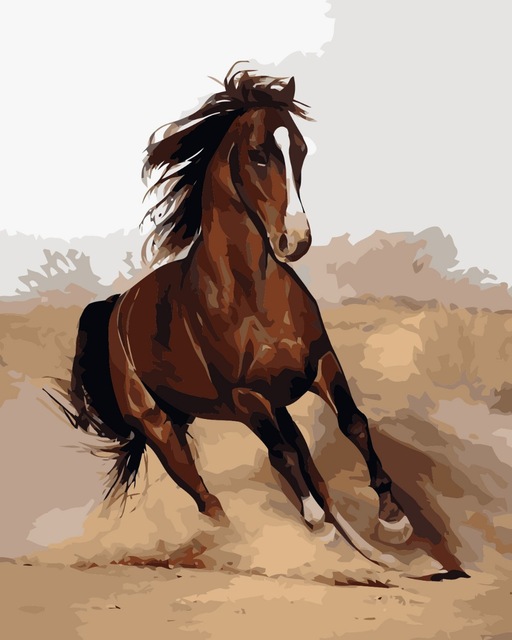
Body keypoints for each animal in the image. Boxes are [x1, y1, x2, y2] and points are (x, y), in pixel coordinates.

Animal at [69, 67, 412, 567]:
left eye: (299, 149)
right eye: (258, 155)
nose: (296, 239)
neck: (252, 298)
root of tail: (116, 310)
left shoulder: (319, 364)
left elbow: (353, 423)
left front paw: (393, 518)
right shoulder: (247, 398)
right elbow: (283, 456)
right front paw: (318, 526)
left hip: (257, 409)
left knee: (298, 458)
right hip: (162, 429)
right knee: (206, 497)